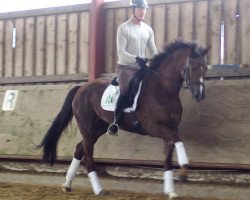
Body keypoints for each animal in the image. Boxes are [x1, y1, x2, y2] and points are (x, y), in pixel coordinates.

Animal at [38, 40, 209, 198]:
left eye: (205, 68)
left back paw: (67, 184)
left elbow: (167, 159)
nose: (199, 95)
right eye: (192, 68)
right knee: (88, 155)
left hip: (97, 129)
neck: (162, 89)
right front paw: (184, 171)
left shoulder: (171, 129)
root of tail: (81, 88)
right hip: (87, 128)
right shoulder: (154, 127)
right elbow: (179, 141)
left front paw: (170, 191)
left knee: (80, 149)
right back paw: (99, 190)